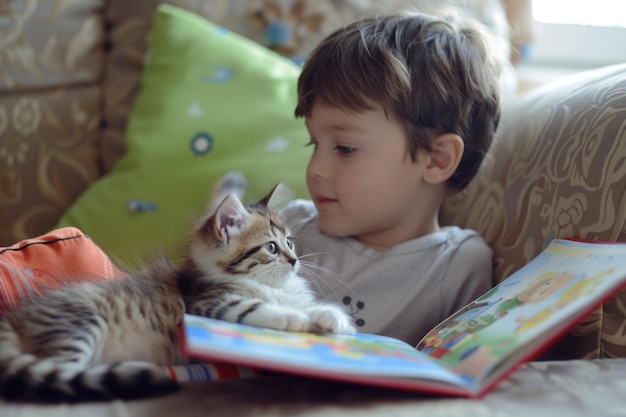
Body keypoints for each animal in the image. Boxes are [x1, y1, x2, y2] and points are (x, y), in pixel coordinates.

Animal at [0, 174, 354, 402]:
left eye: (290, 242)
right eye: (271, 247)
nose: (294, 261)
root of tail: (14, 316)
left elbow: (308, 307)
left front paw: (333, 319)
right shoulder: (211, 304)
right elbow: (263, 309)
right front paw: (298, 319)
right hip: (80, 327)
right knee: (53, 377)